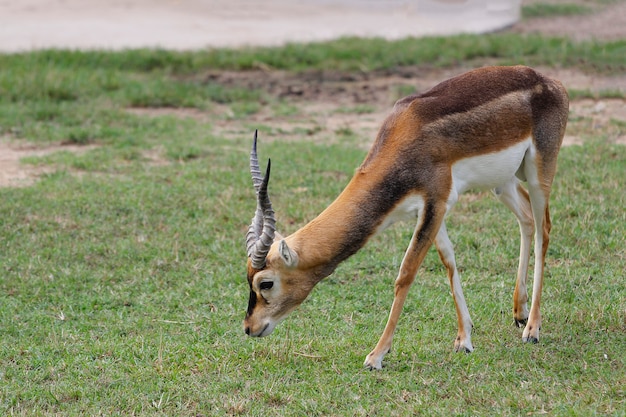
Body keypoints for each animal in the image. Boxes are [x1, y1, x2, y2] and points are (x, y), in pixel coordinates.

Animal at [243, 65, 564, 368]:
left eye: (265, 283)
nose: (249, 327)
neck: (406, 136)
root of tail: (547, 80)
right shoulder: (430, 210)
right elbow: (449, 262)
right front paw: (464, 339)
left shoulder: (435, 202)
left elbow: (406, 274)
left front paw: (376, 356)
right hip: (503, 182)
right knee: (527, 219)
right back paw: (519, 312)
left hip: (540, 172)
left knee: (544, 229)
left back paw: (532, 329)